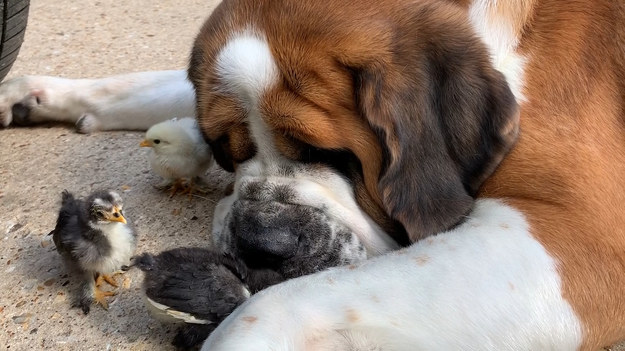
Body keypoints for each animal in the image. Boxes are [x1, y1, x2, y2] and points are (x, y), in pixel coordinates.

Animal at [1, 0, 624, 350]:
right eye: (226, 150)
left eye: (334, 154)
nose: (260, 242)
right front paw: (37, 94)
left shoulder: (579, 242)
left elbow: (276, 305)